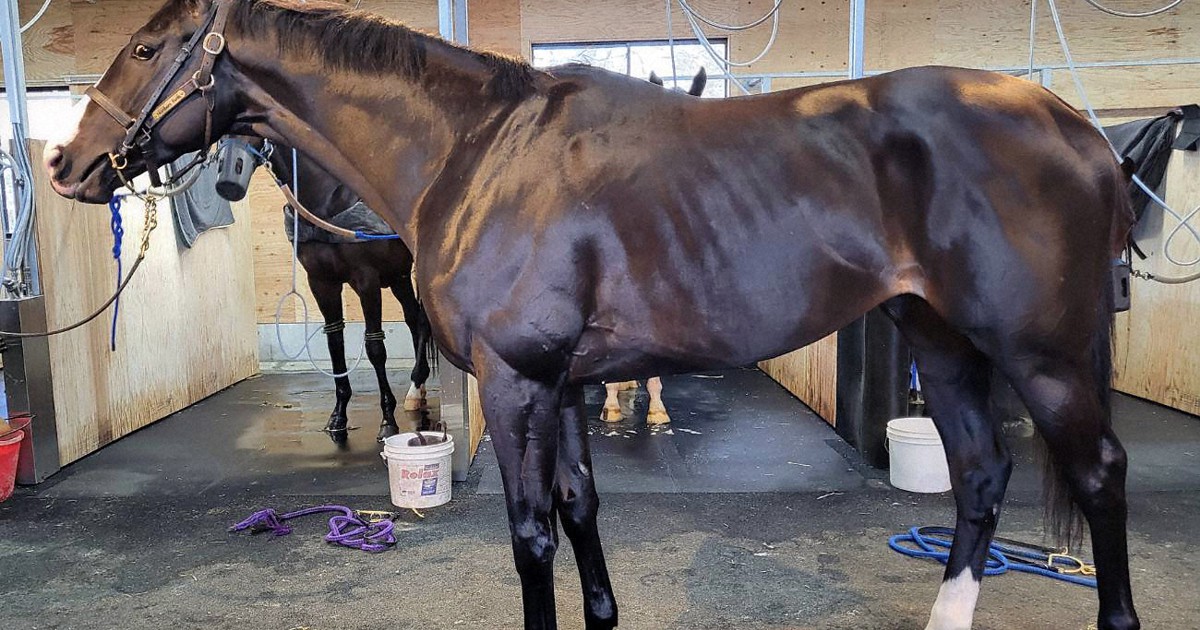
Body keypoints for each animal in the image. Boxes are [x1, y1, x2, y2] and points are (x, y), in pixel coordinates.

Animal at [215, 136, 435, 441]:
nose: (227, 178)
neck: (326, 202)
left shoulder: (366, 281)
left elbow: (375, 346)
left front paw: (387, 420)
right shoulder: (321, 283)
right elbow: (334, 344)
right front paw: (338, 416)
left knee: (422, 321)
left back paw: (415, 384)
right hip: (398, 275)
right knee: (413, 319)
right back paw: (417, 388)